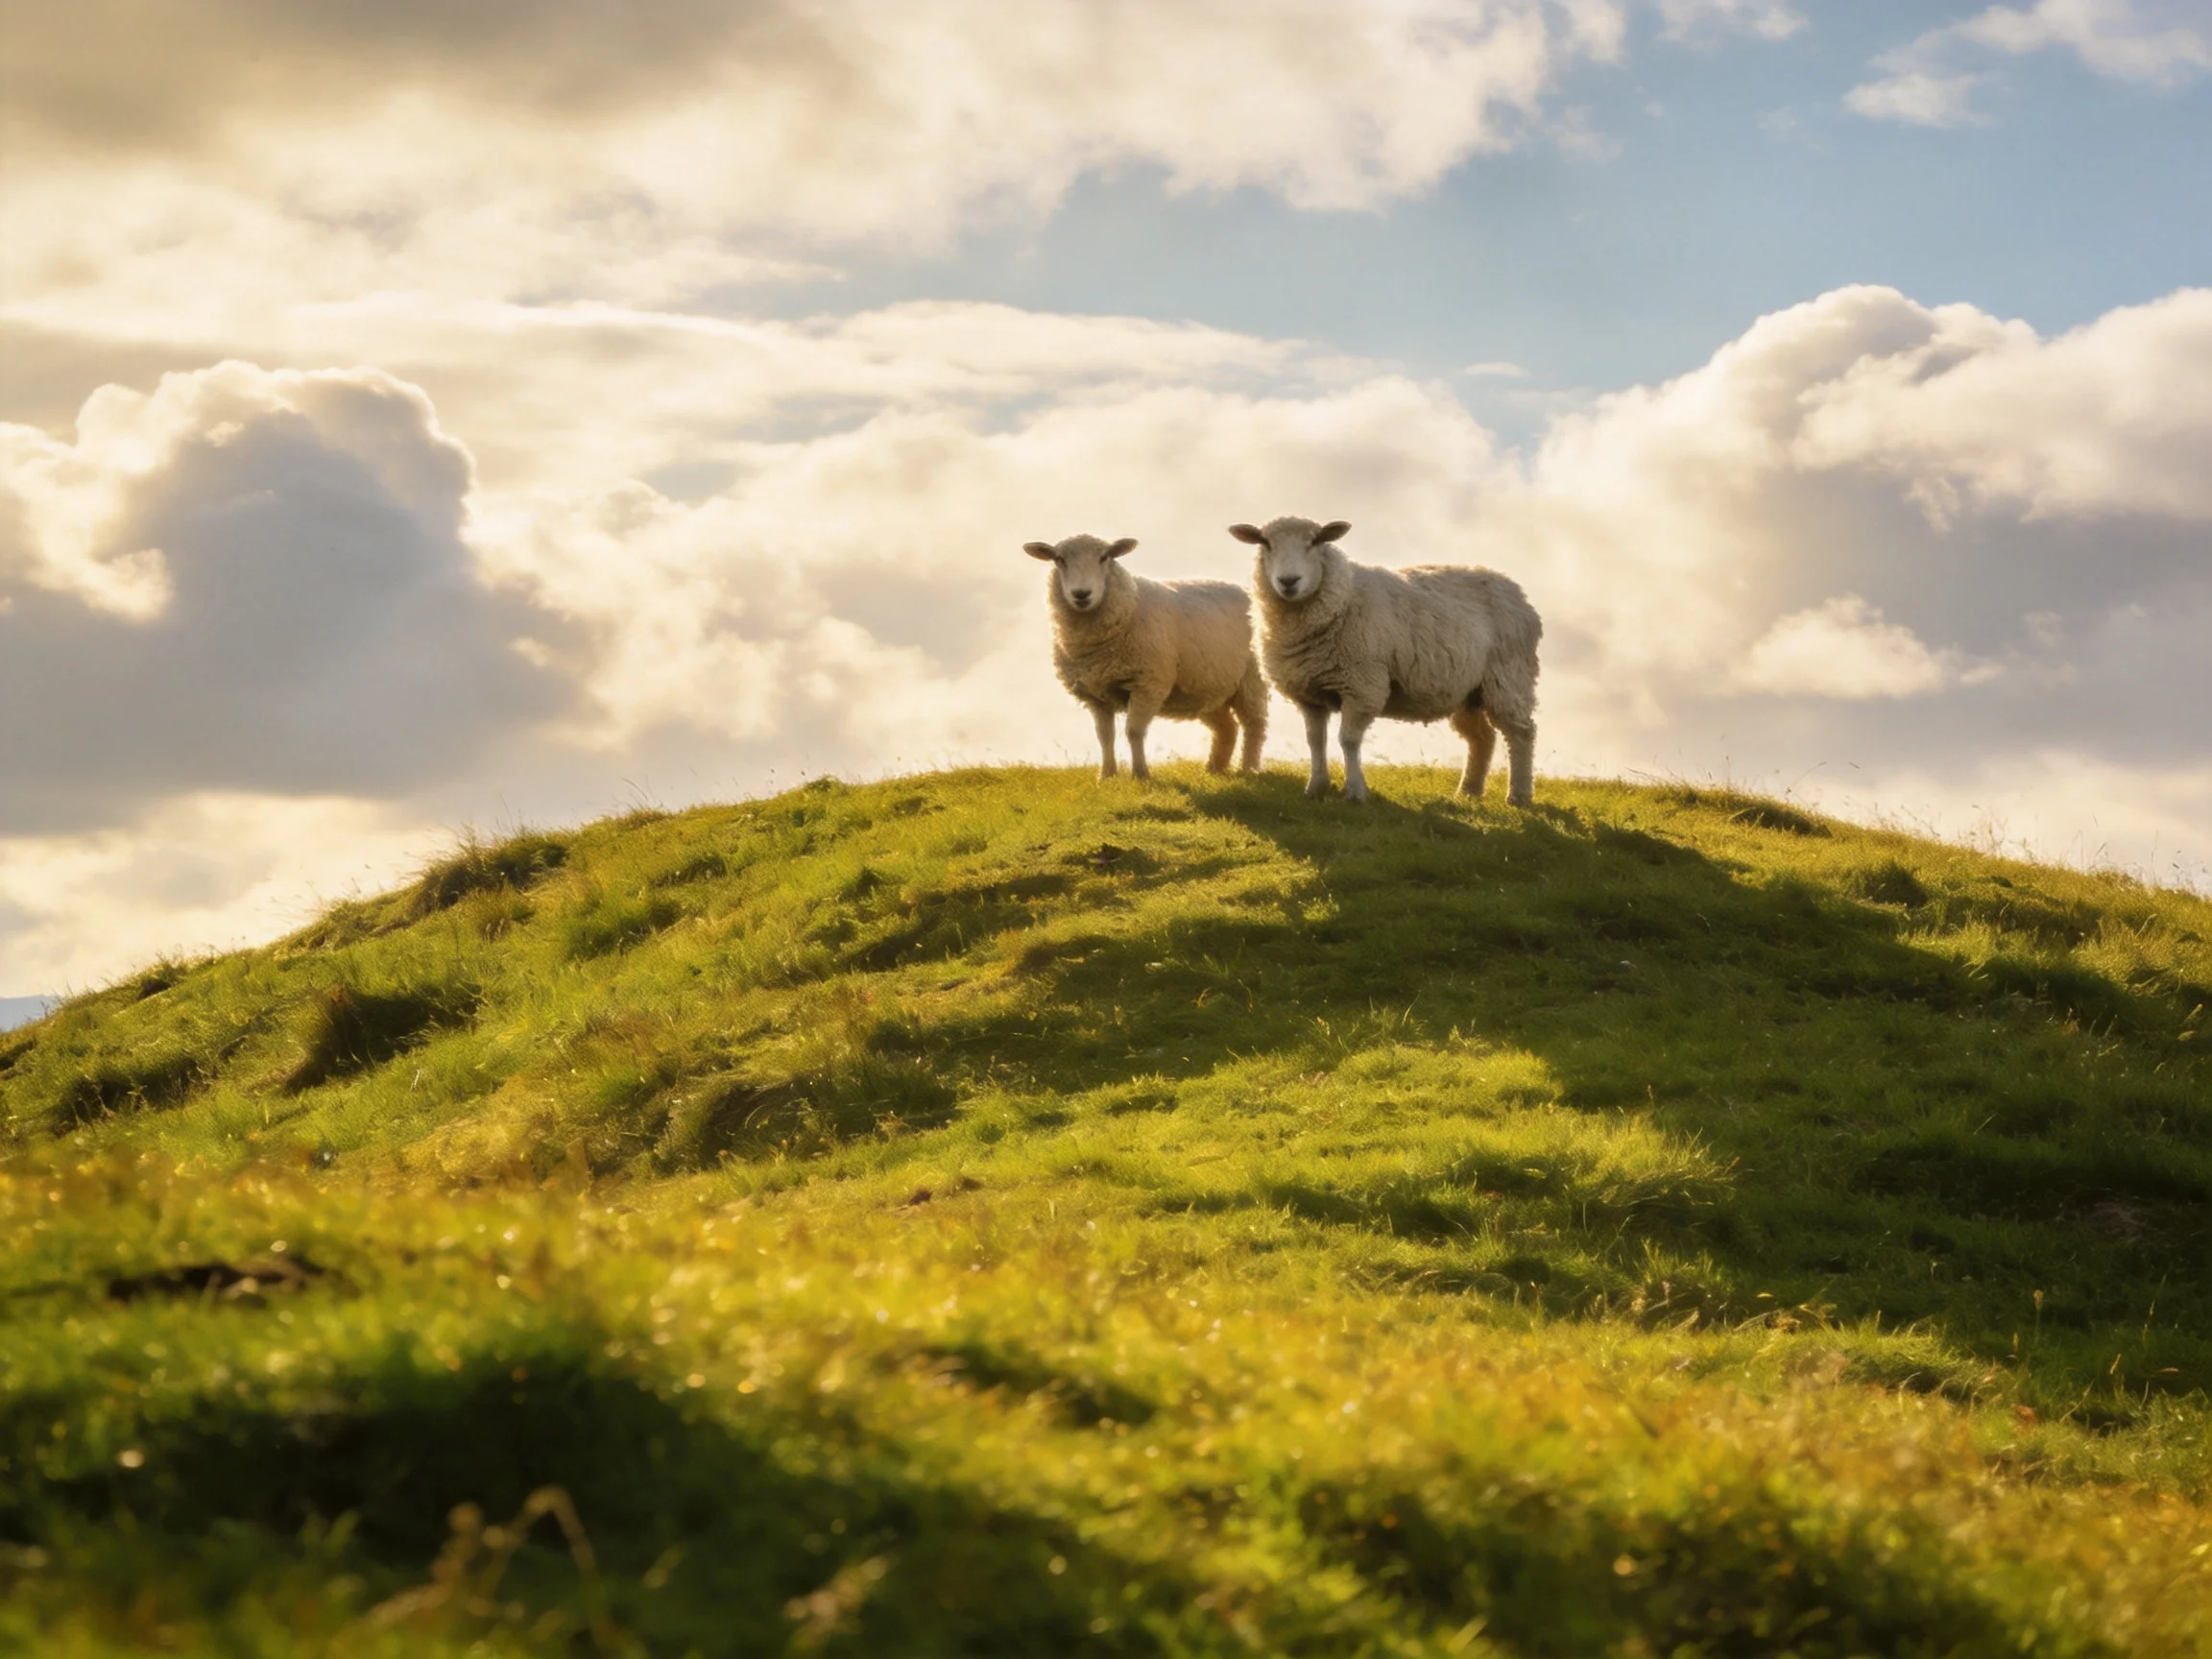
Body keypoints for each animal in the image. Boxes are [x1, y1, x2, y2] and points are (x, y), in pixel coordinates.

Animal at [1026, 533, 1267, 781]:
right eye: (1059, 559)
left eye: (1104, 557)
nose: (1081, 594)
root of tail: (1245, 591)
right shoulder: (1096, 694)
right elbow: (1104, 736)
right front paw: (1107, 776)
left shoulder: (1147, 684)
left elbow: (1134, 732)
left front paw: (1141, 774)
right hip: (1206, 688)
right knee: (1227, 727)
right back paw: (1214, 770)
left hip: (1251, 680)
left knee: (1254, 725)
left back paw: (1249, 768)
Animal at [1229, 516, 1540, 806]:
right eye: (1265, 543)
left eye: (1316, 541)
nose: (1289, 581)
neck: (1343, 597)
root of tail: (1517, 592)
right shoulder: (1309, 692)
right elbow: (1315, 741)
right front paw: (1315, 788)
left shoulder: (1362, 686)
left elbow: (1348, 740)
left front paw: (1355, 792)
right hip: (1466, 689)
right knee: (1481, 738)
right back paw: (1468, 791)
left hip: (1509, 677)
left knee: (1521, 733)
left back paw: (1519, 795)